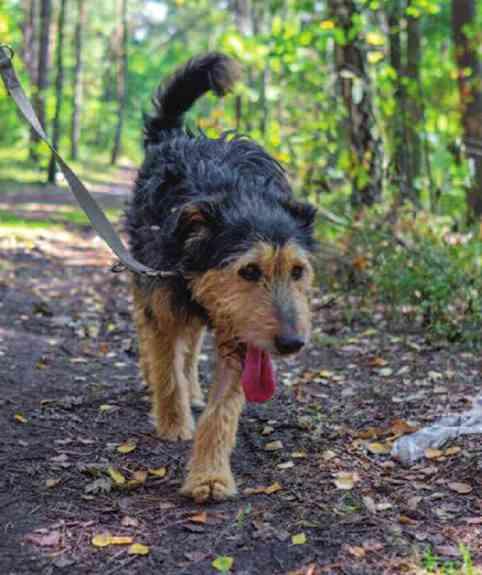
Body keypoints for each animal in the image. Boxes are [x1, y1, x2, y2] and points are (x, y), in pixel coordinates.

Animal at [126, 54, 318, 504]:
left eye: (297, 271)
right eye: (248, 271)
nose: (292, 343)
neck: (240, 198)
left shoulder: (239, 334)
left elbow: (224, 409)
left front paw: (210, 475)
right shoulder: (162, 300)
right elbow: (166, 368)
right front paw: (173, 422)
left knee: (192, 344)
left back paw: (194, 391)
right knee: (156, 340)